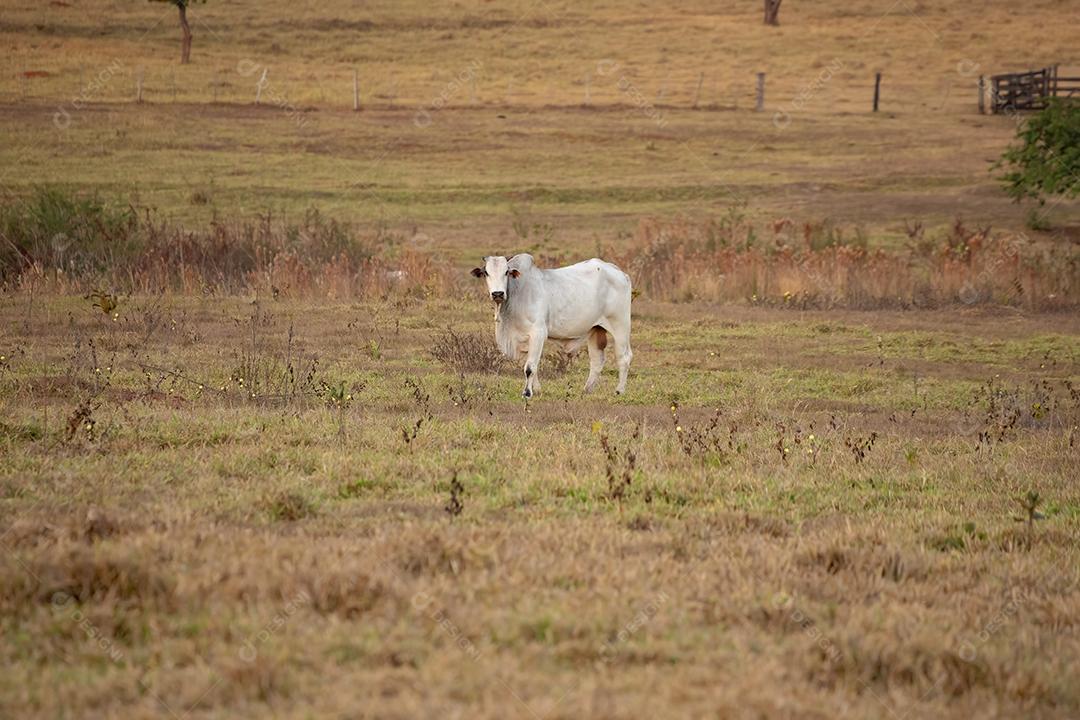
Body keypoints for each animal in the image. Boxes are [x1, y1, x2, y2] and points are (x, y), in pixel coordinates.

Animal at [471, 254, 633, 398]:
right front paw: (536, 390)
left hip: (620, 326)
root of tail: (620, 273)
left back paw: (619, 391)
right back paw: (587, 390)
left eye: (506, 272)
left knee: (624, 357)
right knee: (597, 360)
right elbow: (531, 365)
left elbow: (530, 367)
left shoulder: (538, 333)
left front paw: (527, 393)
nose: (497, 293)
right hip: (595, 329)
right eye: (486, 272)